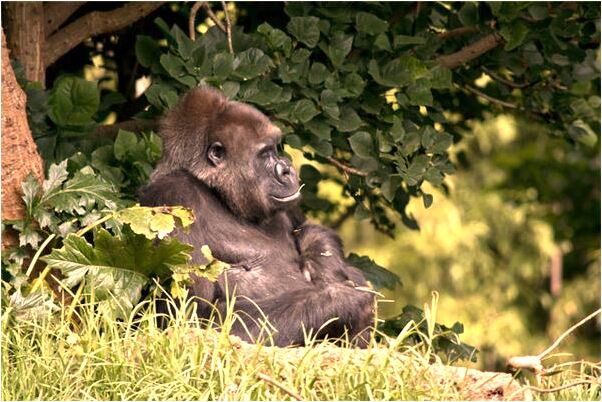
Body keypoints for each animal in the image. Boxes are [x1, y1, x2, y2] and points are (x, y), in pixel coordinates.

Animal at [139, 86, 376, 348]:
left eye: (275, 149)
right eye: (265, 154)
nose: (287, 169)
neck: (217, 192)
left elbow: (310, 229)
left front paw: (325, 263)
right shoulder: (174, 196)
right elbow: (192, 317)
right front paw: (345, 299)